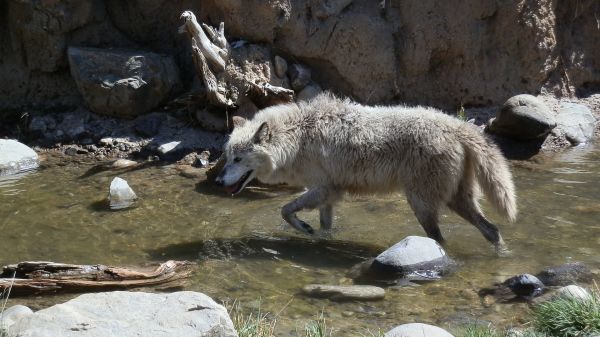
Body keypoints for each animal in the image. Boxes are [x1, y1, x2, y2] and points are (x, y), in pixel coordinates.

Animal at [216, 92, 516, 249]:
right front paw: (319, 237)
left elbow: (285, 210)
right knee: (492, 229)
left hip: (422, 204)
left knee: (440, 239)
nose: (219, 181)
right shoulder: (329, 195)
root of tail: (457, 126)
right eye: (227, 157)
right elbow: (323, 226)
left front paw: (303, 227)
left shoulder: (323, 189)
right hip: (456, 200)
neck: (297, 137)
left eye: (238, 159)